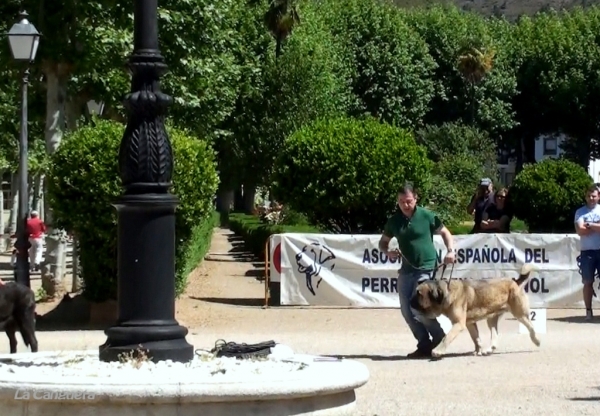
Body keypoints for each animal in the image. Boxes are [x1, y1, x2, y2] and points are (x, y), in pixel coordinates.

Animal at [410, 264, 540, 360]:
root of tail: (515, 282)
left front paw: (437, 351)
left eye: (419, 294)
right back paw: (488, 350)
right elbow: (476, 338)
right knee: (495, 337)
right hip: (491, 319)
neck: (446, 293)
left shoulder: (459, 324)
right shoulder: (469, 324)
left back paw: (537, 341)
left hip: (520, 314)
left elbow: (447, 337)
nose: (410, 300)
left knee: (531, 327)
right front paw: (478, 350)